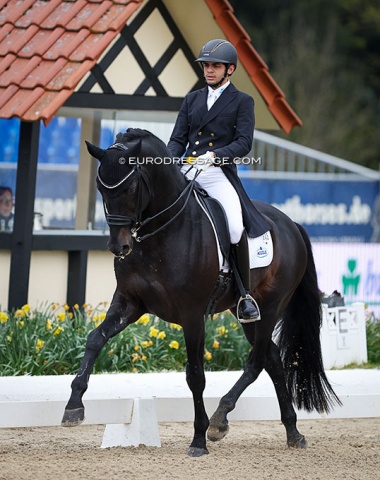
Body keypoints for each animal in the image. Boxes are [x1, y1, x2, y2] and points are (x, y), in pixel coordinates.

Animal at [60, 127, 340, 458]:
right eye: (101, 190)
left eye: (130, 188)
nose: (119, 247)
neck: (162, 232)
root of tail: (291, 224)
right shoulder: (129, 303)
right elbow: (94, 340)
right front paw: (73, 407)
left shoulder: (192, 315)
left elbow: (195, 375)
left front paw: (198, 440)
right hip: (246, 313)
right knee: (271, 358)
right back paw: (292, 431)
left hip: (271, 306)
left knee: (257, 360)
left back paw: (220, 419)